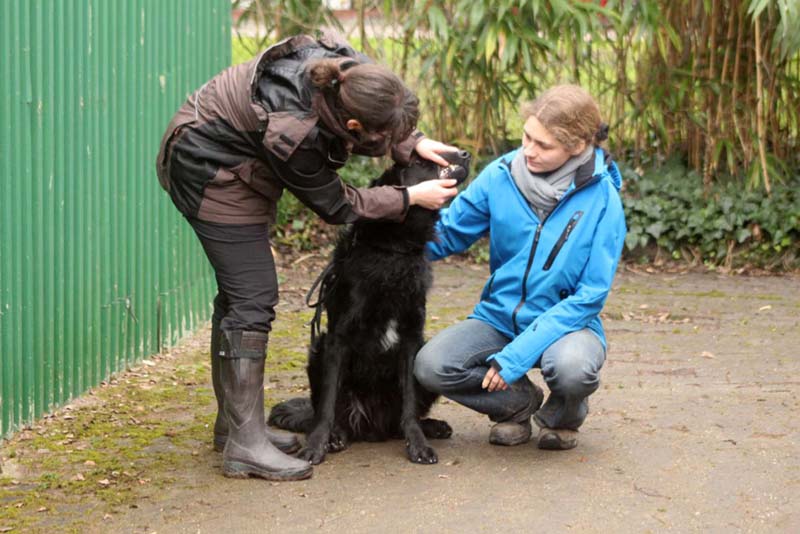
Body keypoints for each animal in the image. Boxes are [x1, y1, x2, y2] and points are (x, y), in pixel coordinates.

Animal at [270, 150, 468, 464]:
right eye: (418, 162)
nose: (465, 153)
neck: (394, 251)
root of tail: (372, 427)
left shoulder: (412, 339)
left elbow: (409, 405)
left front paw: (418, 444)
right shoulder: (337, 339)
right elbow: (326, 405)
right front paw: (316, 445)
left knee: (399, 421)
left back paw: (431, 426)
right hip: (318, 350)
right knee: (327, 411)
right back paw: (336, 435)